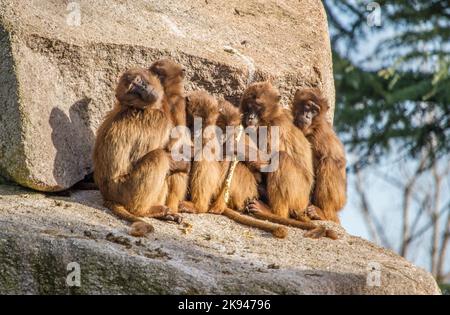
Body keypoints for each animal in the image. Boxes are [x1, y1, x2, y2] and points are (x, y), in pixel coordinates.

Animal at [292, 87, 348, 223]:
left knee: (329, 162)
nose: (307, 116)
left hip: (339, 200)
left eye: (314, 111)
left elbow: (338, 160)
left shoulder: (320, 133)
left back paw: (323, 212)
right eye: (308, 106)